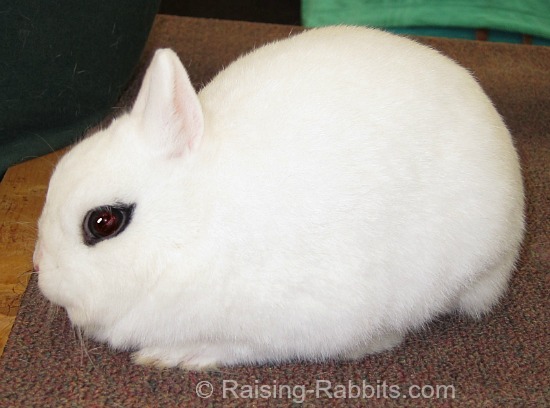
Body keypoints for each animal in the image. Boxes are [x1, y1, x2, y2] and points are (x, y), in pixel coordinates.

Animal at [33, 26, 528, 370]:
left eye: (103, 222)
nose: (40, 270)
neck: (196, 225)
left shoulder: (297, 319)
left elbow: (237, 345)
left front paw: (176, 356)